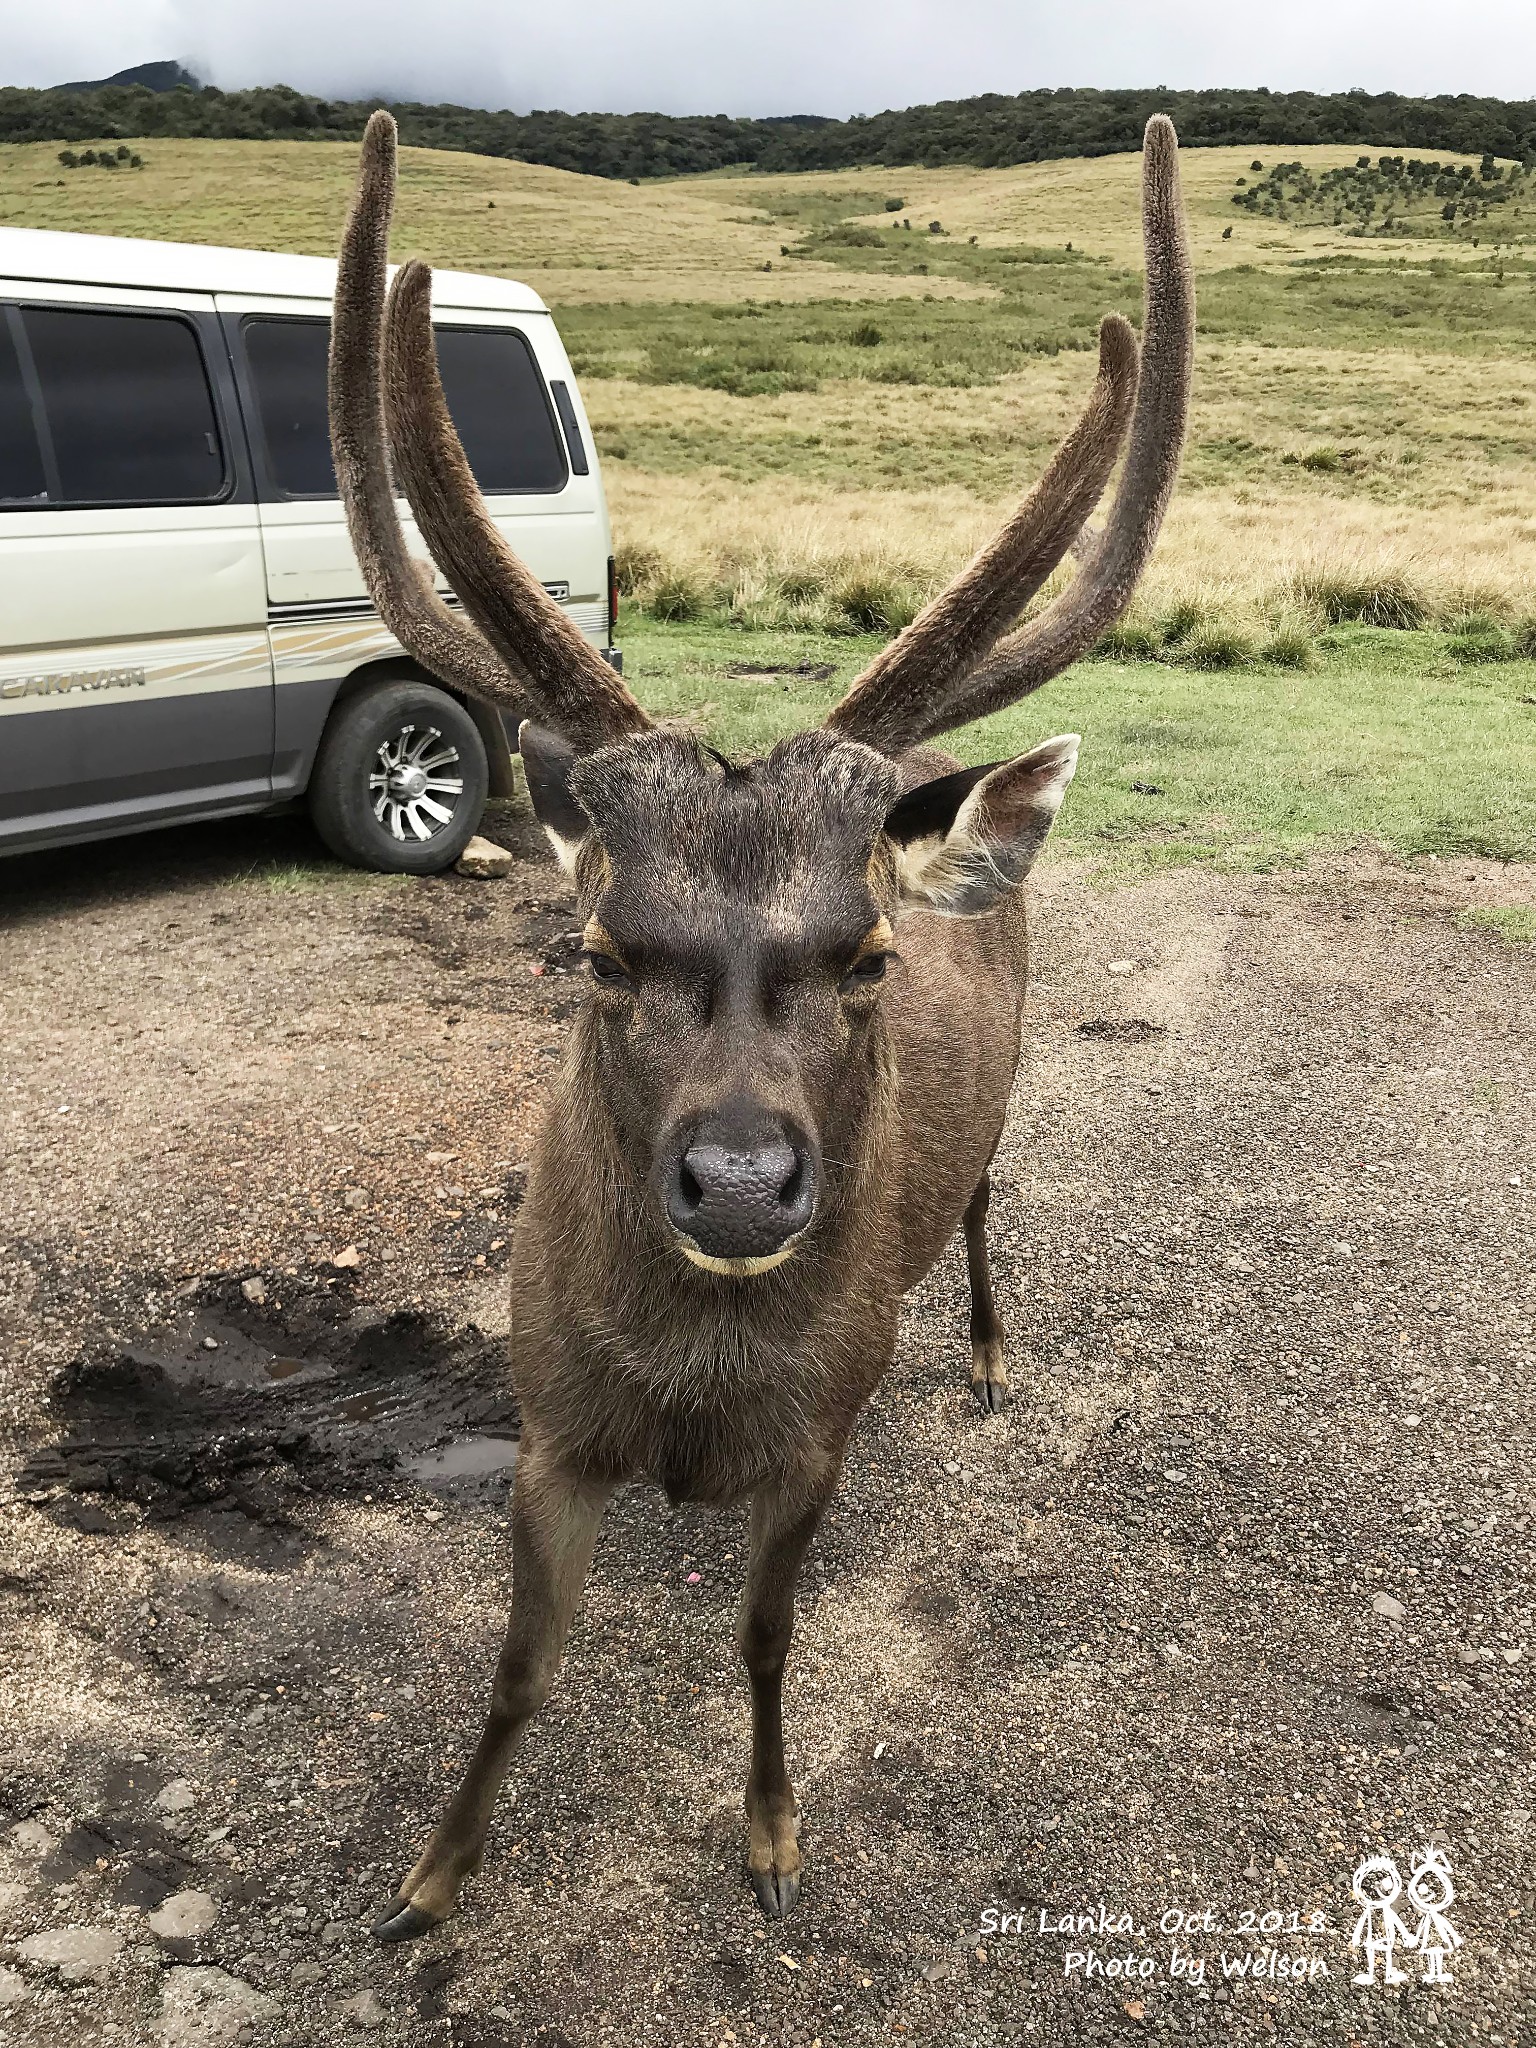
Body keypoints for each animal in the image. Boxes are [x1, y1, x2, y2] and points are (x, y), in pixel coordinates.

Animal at [331, 108, 1196, 1933]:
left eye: (863, 956)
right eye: (595, 948)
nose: (738, 1184)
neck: (691, 1393)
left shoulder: (821, 1433)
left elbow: (768, 1638)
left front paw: (773, 1832)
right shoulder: (545, 1419)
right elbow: (518, 1670)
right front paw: (432, 1874)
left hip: (1005, 1099)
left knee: (988, 1202)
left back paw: (991, 1348)